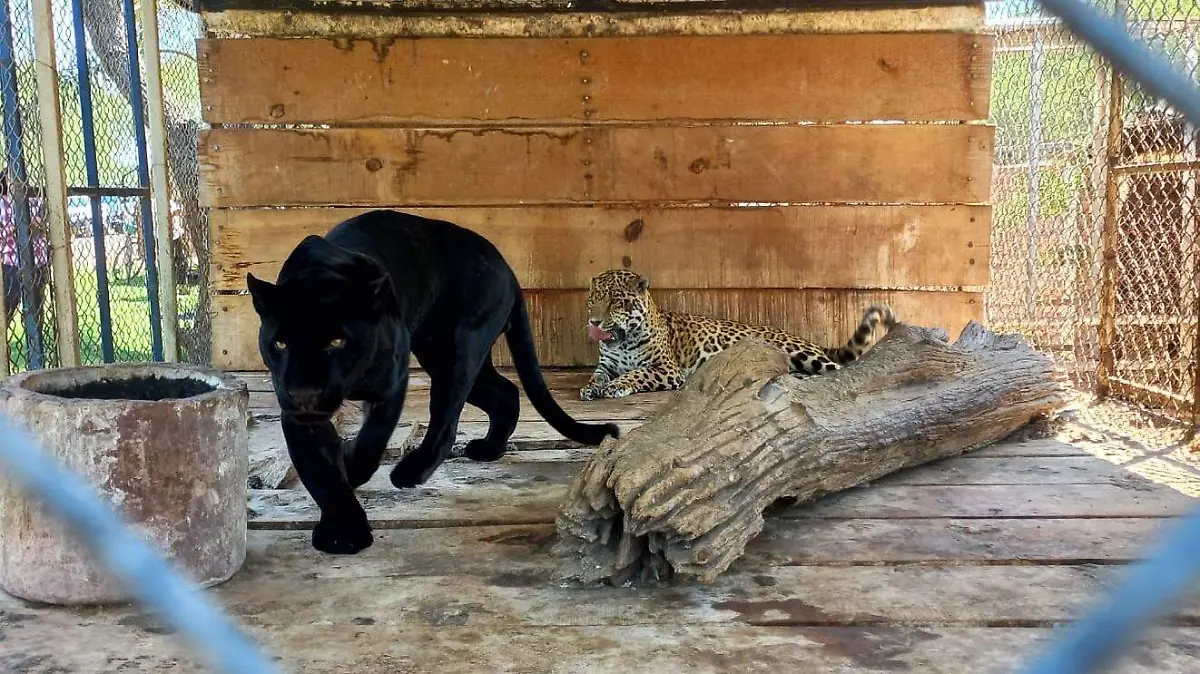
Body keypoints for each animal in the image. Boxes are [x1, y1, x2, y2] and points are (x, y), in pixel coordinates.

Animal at [580, 269, 896, 401]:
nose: (593, 321)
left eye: (615, 302)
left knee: (840, 371)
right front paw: (592, 388)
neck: (622, 341)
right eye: (592, 299)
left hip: (803, 353)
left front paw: (616, 387)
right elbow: (597, 376)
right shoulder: (606, 365)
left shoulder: (667, 369)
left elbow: (636, 374)